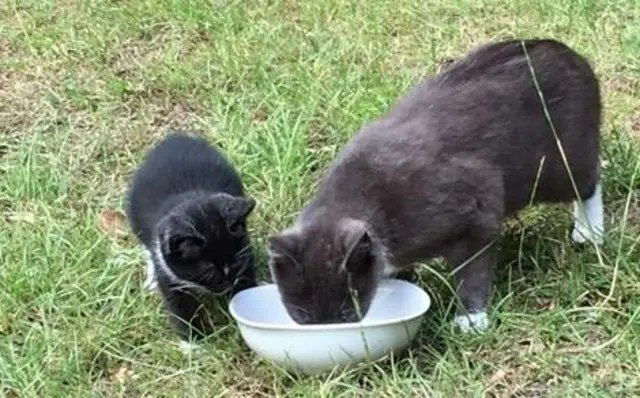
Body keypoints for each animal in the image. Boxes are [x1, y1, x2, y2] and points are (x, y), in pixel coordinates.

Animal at [126, 133, 256, 346]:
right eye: (208, 271)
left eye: (234, 262)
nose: (228, 284)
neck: (189, 199)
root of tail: (173, 137)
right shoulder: (166, 266)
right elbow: (179, 305)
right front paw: (193, 343)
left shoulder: (246, 251)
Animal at [266, 38, 604, 332]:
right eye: (301, 316)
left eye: (348, 313)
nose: (327, 332)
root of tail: (571, 54)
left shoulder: (473, 209)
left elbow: (473, 268)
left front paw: (471, 319)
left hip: (558, 164)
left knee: (588, 180)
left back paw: (590, 231)